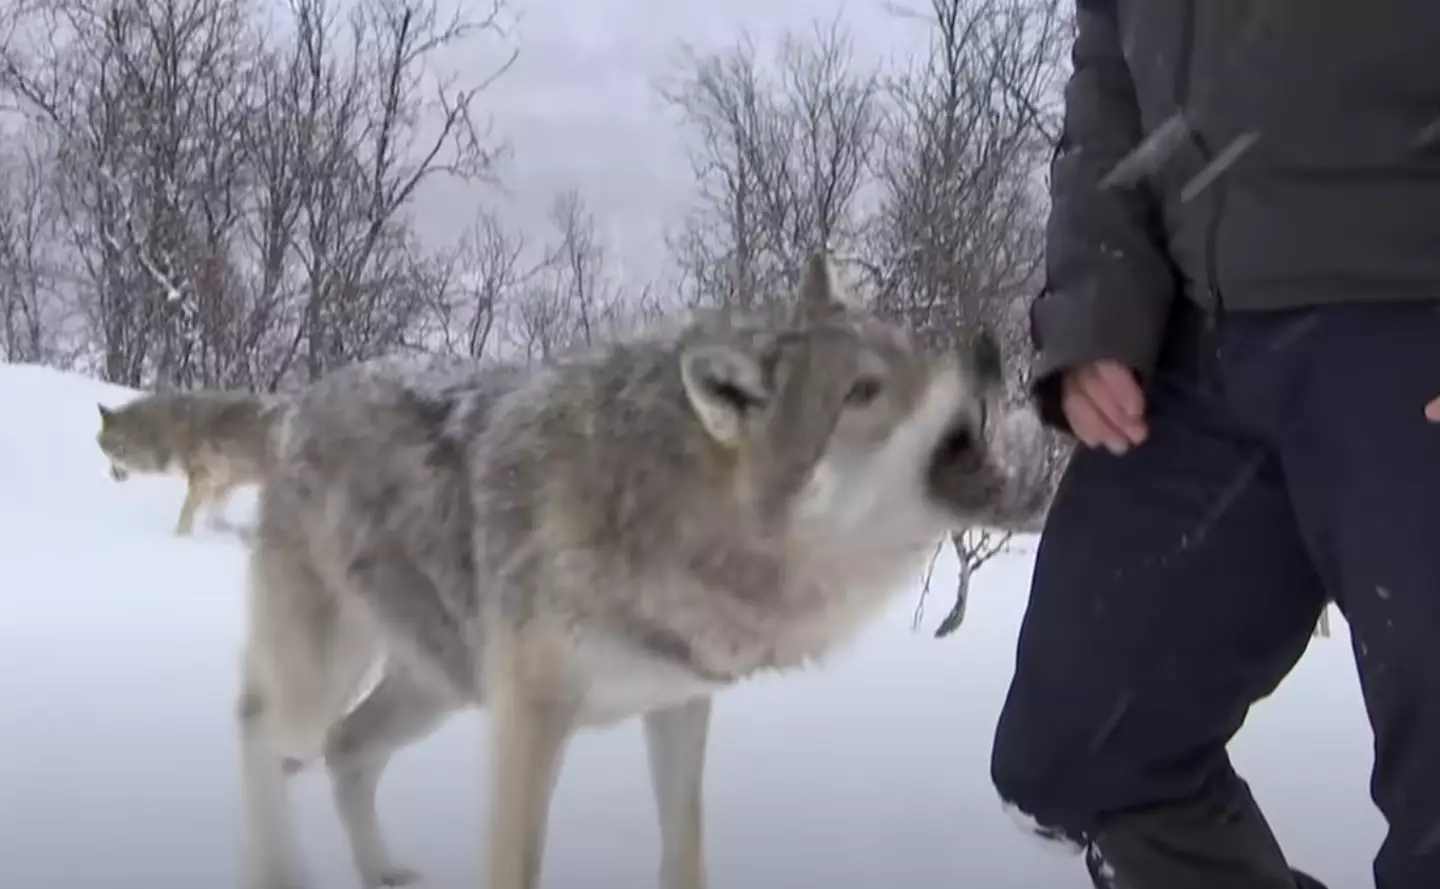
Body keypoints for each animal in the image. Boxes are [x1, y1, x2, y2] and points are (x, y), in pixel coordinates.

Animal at [96, 389, 289, 536]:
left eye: (113, 452)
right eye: (104, 451)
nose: (113, 475)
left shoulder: (202, 478)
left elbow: (186, 515)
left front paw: (179, 540)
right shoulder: (224, 483)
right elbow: (215, 518)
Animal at [235, 251, 1039, 889]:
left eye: (913, 353)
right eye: (862, 392)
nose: (987, 352)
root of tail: (296, 404)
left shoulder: (679, 704)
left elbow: (685, 856)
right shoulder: (531, 720)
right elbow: (516, 866)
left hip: (439, 686)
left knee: (345, 748)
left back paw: (383, 872)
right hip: (331, 680)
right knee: (261, 731)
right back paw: (278, 872)